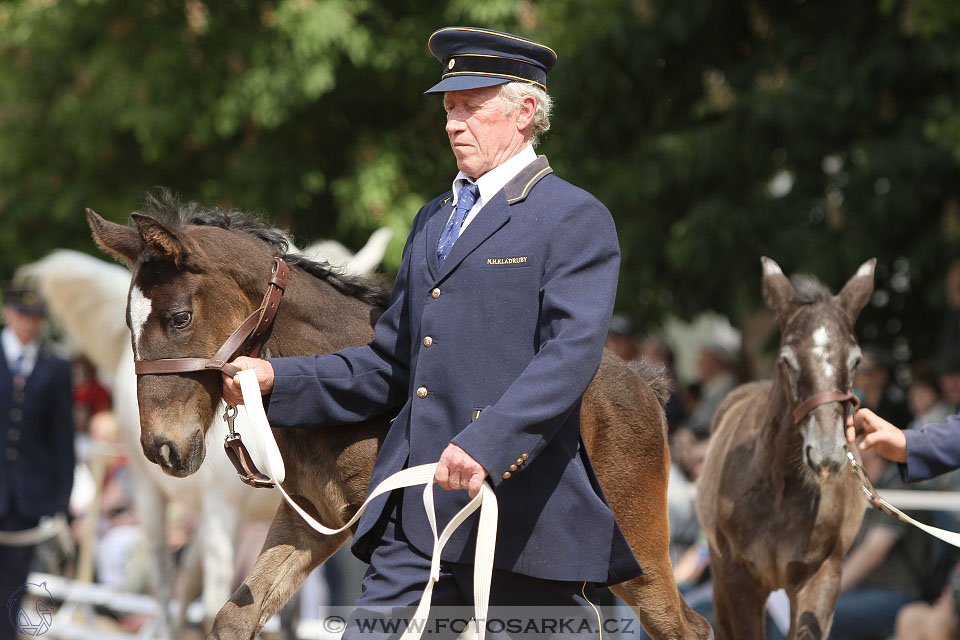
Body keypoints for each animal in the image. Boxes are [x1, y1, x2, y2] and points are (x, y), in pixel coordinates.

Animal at [24, 228, 396, 636]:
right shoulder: (284, 513)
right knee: (167, 589)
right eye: (129, 322)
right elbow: (226, 611)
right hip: (150, 494)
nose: (162, 446)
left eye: (180, 318)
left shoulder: (324, 519)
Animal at [696, 258, 876, 636]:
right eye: (787, 359)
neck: (781, 488)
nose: (826, 454)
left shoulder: (820, 575)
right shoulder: (739, 579)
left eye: (856, 360)